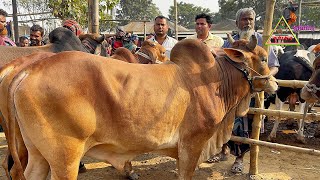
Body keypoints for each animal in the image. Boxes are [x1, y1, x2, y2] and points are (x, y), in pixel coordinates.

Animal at [6, 37, 278, 179]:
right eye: (264, 58)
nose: (275, 83)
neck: (214, 79)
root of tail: (29, 70)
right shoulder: (192, 144)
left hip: (38, 154)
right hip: (65, 159)